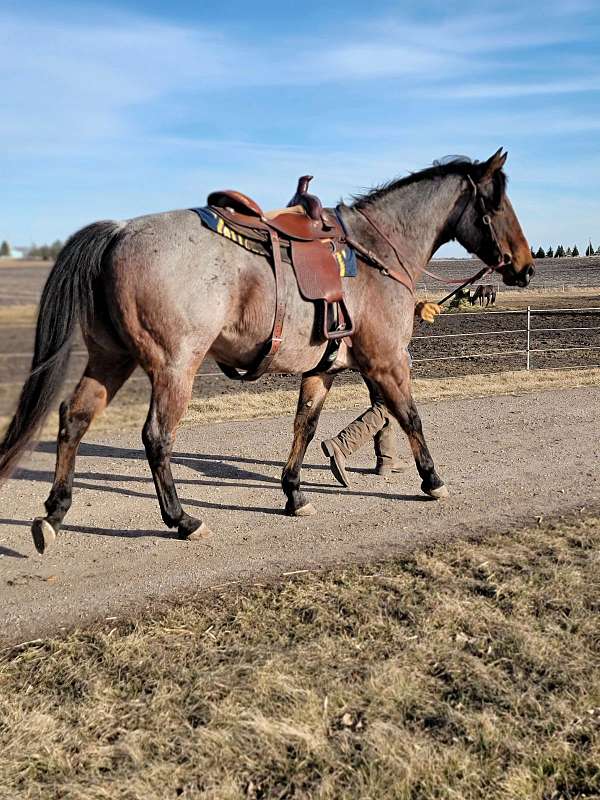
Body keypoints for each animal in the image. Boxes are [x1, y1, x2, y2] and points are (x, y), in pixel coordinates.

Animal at [0, 148, 536, 556]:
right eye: (499, 203)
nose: (526, 267)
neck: (375, 253)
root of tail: (119, 230)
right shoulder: (386, 361)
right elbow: (409, 416)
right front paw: (432, 480)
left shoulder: (324, 369)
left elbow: (305, 426)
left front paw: (295, 494)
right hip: (174, 366)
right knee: (156, 437)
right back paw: (182, 519)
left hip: (111, 359)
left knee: (73, 418)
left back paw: (54, 513)